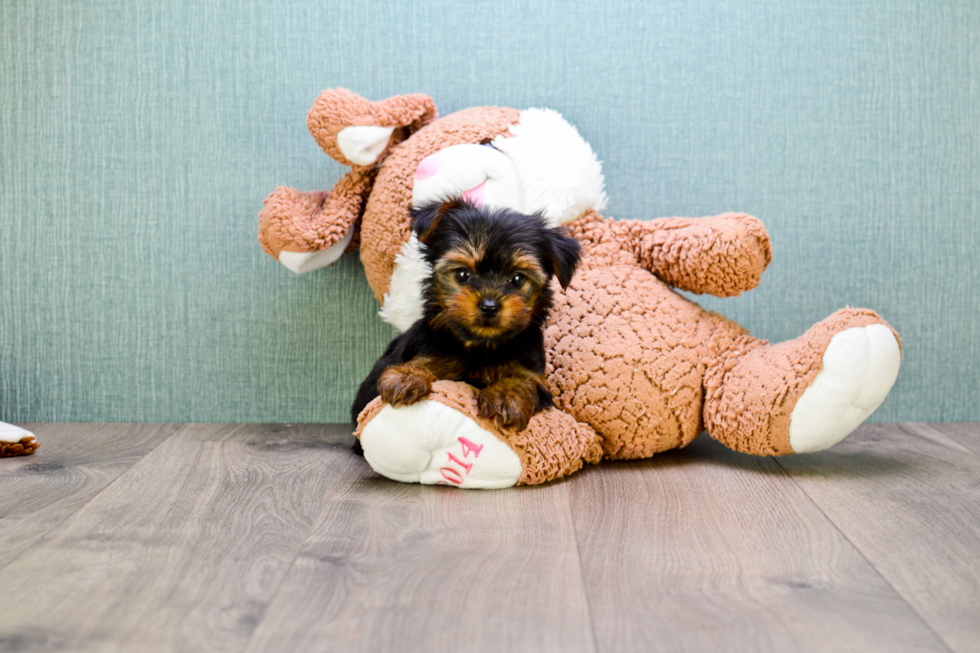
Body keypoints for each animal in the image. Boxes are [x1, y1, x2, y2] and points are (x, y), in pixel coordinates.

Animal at [352, 199, 580, 432]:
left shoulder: (534, 375)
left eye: (517, 279)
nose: (489, 306)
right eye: (462, 274)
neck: (482, 345)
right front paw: (408, 376)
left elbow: (522, 380)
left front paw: (505, 396)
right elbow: (426, 362)